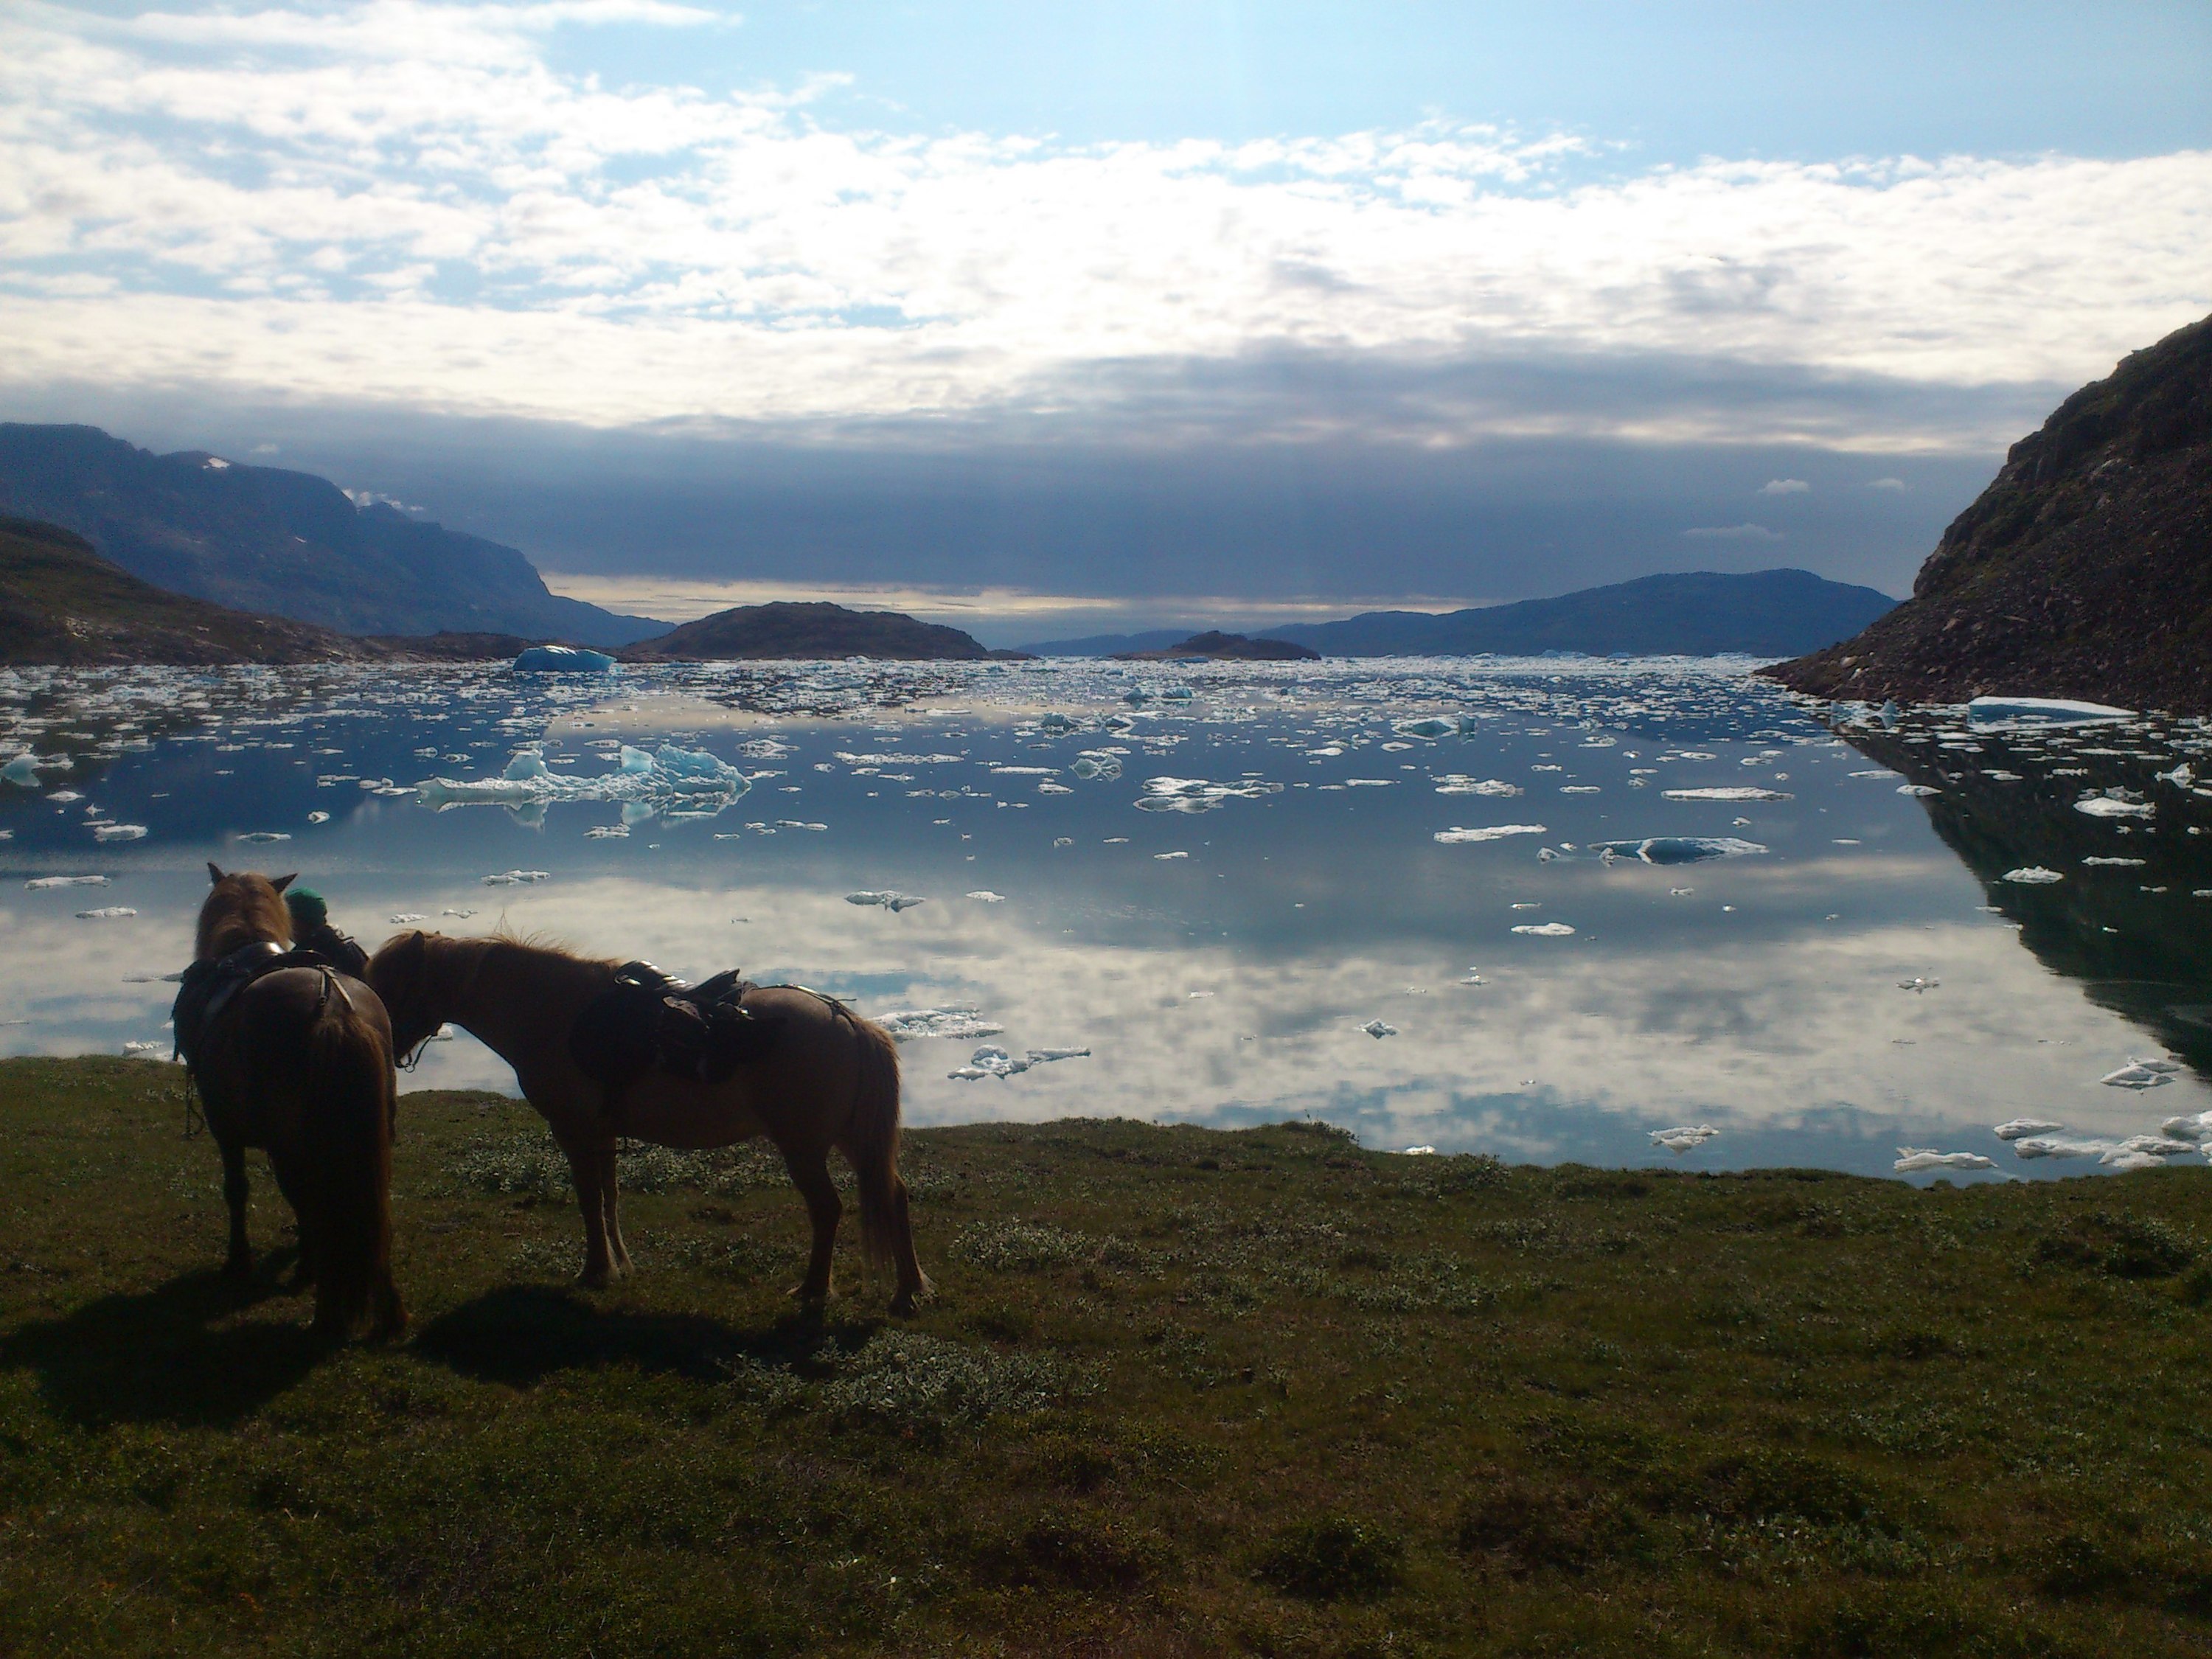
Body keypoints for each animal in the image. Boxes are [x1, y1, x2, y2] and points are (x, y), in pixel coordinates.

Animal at [191, 863, 407, 1345]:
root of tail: (334, 1010)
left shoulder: (224, 1127)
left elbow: (237, 1191)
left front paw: (239, 1261)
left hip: (293, 1145)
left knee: (315, 1205)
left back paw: (327, 1317)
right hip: (371, 1139)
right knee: (375, 1209)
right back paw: (389, 1315)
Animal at [367, 938, 929, 1310]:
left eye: (396, 983)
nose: (384, 1040)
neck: (554, 1014)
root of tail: (847, 1021)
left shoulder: (574, 1131)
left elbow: (588, 1200)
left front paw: (595, 1270)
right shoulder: (602, 1133)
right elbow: (609, 1198)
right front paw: (620, 1265)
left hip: (805, 1146)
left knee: (828, 1209)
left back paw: (813, 1289)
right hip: (850, 1140)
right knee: (894, 1196)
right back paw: (908, 1289)